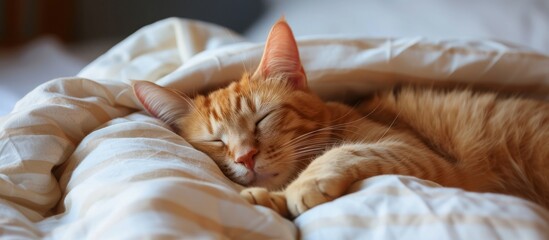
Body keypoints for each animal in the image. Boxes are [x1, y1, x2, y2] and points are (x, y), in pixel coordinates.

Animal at [133, 17, 548, 218]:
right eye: (215, 142)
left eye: (262, 120)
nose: (245, 158)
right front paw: (271, 201)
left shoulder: (419, 154)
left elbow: (343, 152)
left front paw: (301, 186)